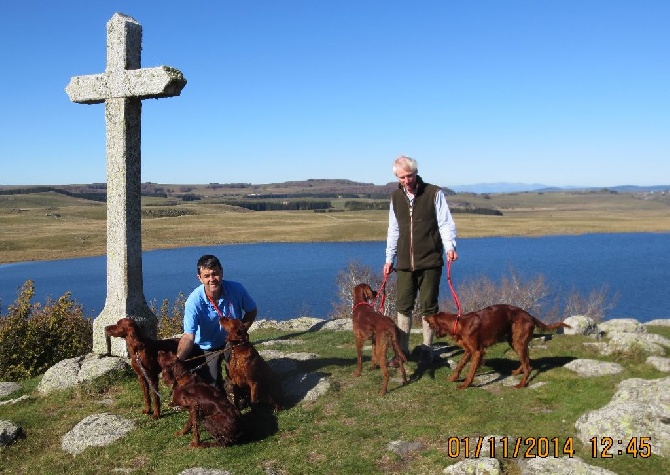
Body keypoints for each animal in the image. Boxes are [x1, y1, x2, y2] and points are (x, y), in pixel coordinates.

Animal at [426, 304, 572, 390]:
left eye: (431, 319)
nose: (425, 316)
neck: (460, 323)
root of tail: (530, 316)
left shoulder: (477, 352)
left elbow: (471, 371)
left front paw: (465, 384)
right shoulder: (468, 350)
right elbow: (460, 364)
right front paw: (452, 378)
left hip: (518, 342)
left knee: (528, 366)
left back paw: (521, 384)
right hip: (514, 341)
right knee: (527, 361)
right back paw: (517, 371)